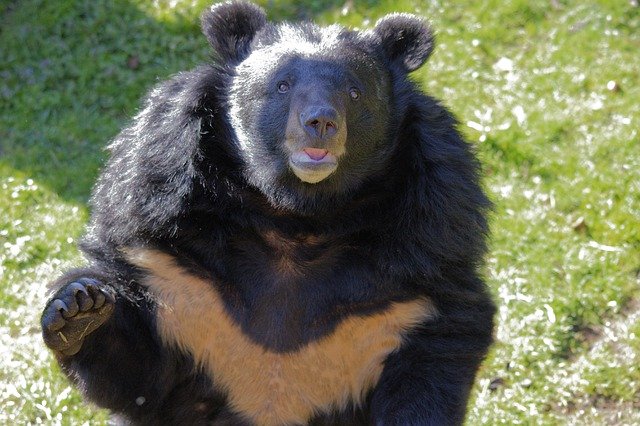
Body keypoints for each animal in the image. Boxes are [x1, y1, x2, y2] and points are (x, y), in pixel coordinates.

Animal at [41, 1, 496, 424]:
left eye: (355, 93)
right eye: (282, 85)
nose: (321, 123)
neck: (298, 214)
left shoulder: (425, 259)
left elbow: (435, 354)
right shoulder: (161, 244)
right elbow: (141, 375)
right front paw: (79, 309)